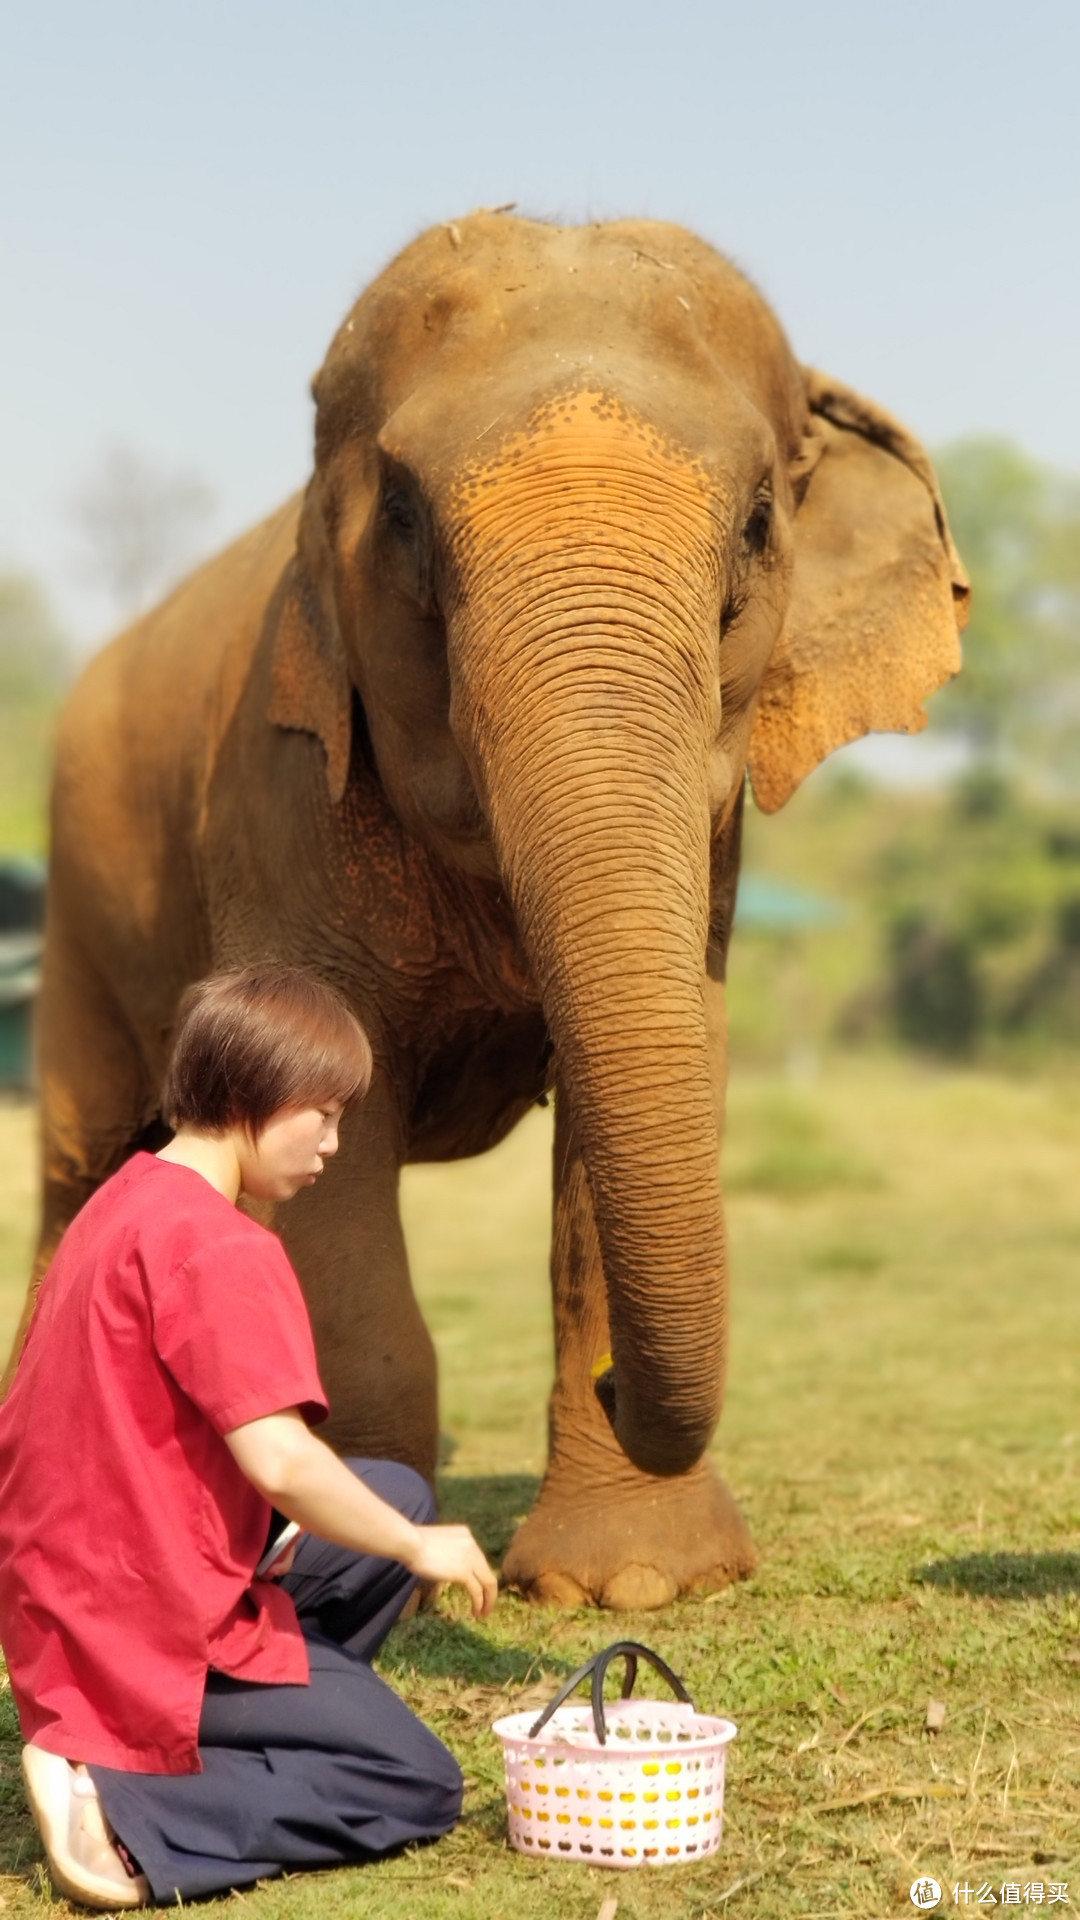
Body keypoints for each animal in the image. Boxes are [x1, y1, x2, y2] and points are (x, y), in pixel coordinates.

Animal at [6, 217, 968, 1612]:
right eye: (404, 519)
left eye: (756, 523)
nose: (625, 1389)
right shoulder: (279, 788)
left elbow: (648, 1090)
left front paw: (634, 1586)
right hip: (83, 912)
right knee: (82, 1168)